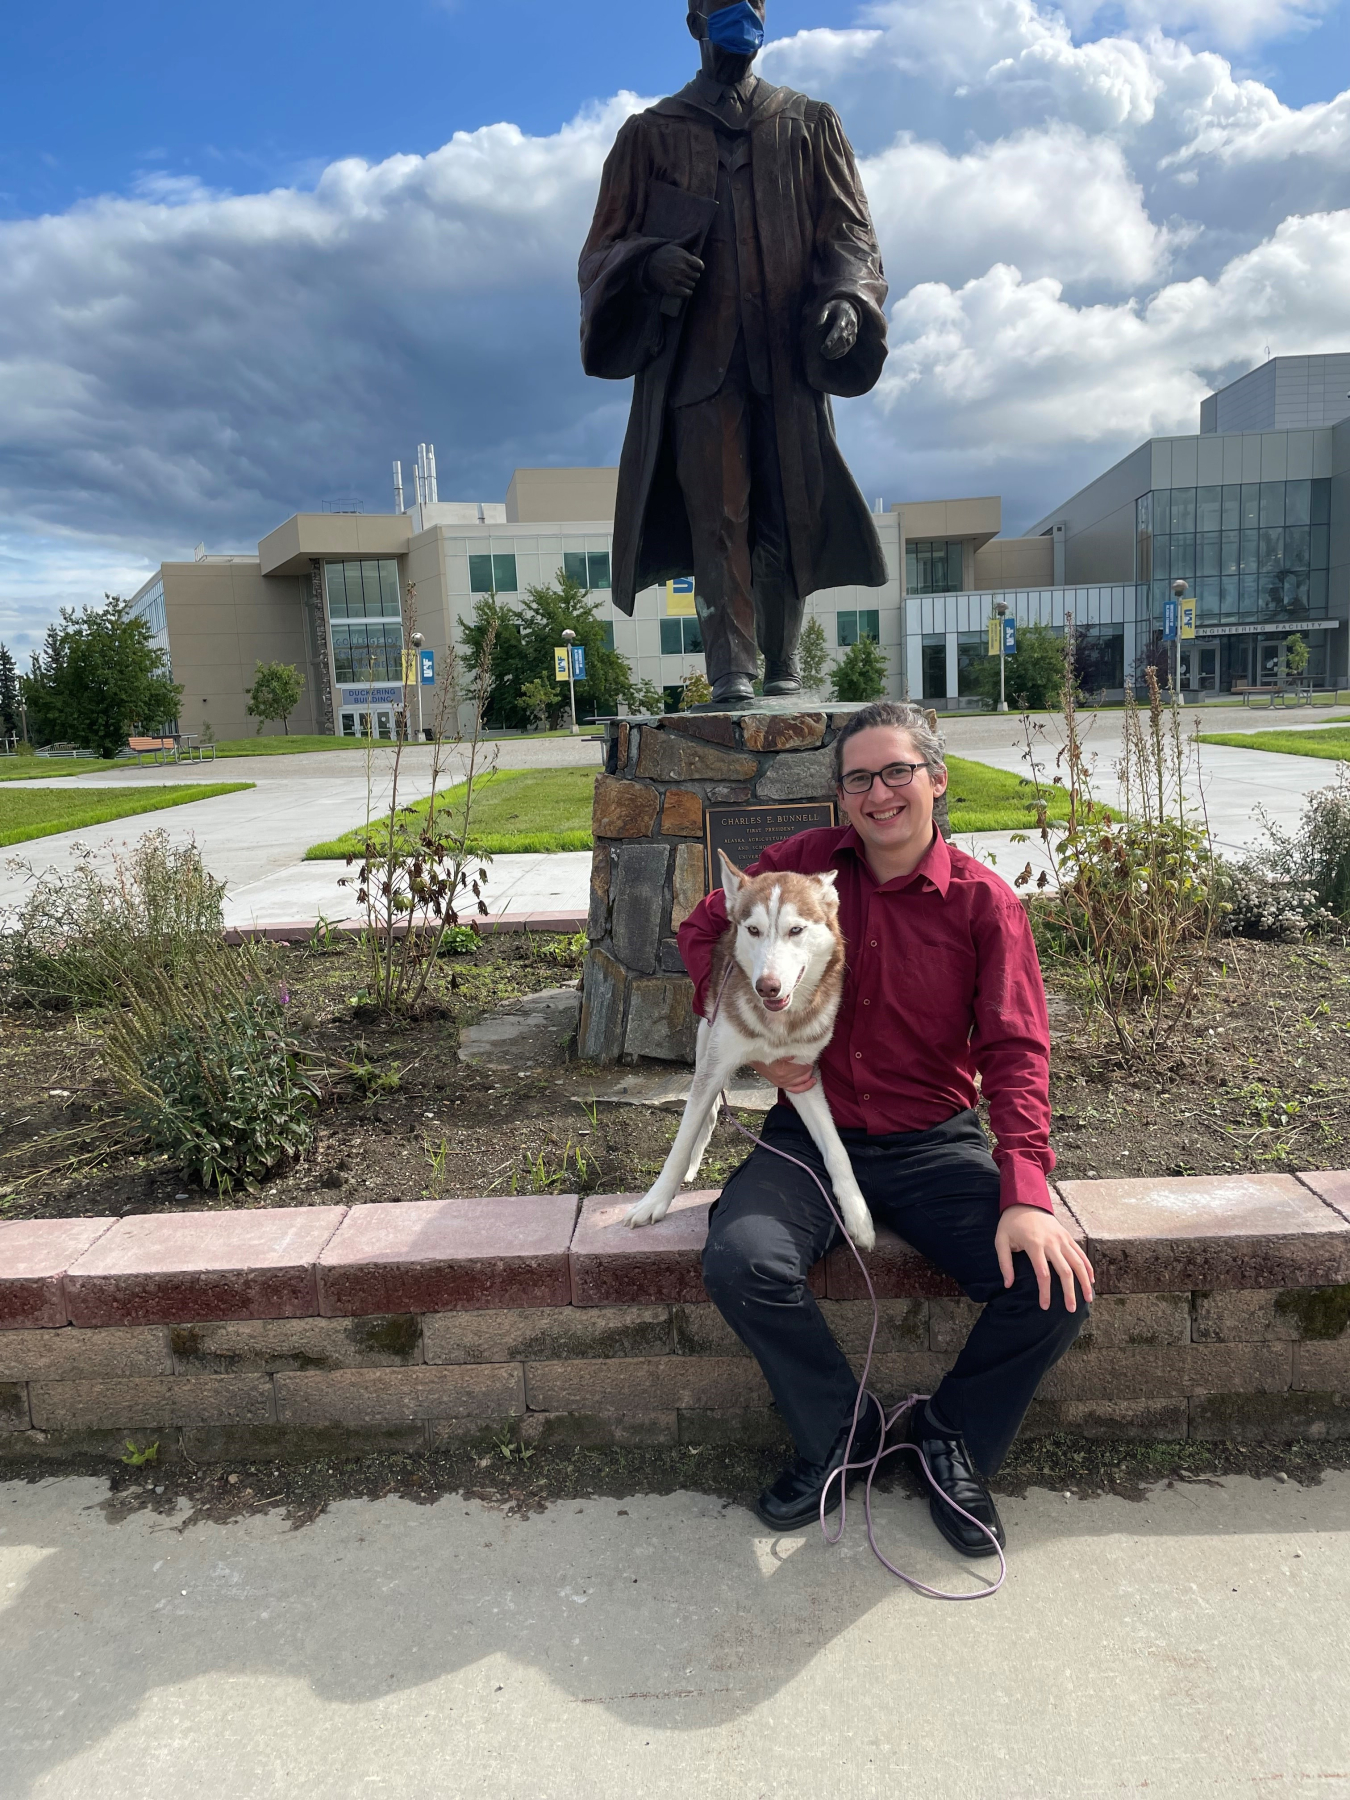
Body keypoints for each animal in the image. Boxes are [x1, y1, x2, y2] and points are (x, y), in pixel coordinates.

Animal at [622, 853, 878, 1252]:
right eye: (754, 930)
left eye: (795, 930)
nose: (766, 987)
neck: (777, 1026)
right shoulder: (715, 1064)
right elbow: (680, 1142)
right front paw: (655, 1201)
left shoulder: (802, 1076)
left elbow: (837, 1149)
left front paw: (858, 1215)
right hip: (707, 1040)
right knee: (707, 1110)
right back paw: (693, 1163)